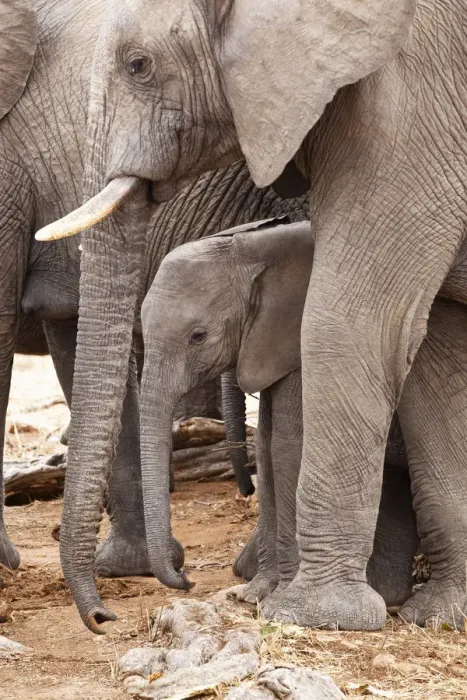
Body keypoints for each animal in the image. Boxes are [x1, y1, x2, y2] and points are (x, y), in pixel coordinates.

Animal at [36, 0, 467, 631]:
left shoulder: (409, 109)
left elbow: (349, 324)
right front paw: (439, 615)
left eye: (139, 65)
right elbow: (438, 359)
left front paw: (312, 615)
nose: (103, 619)